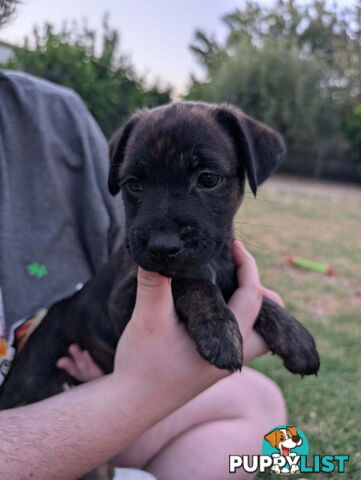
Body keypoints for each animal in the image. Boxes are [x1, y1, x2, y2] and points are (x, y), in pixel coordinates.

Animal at [0, 102, 318, 412]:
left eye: (208, 179)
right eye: (133, 184)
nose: (163, 245)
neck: (211, 262)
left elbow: (257, 296)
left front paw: (295, 336)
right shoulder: (122, 300)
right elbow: (190, 282)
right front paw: (218, 329)